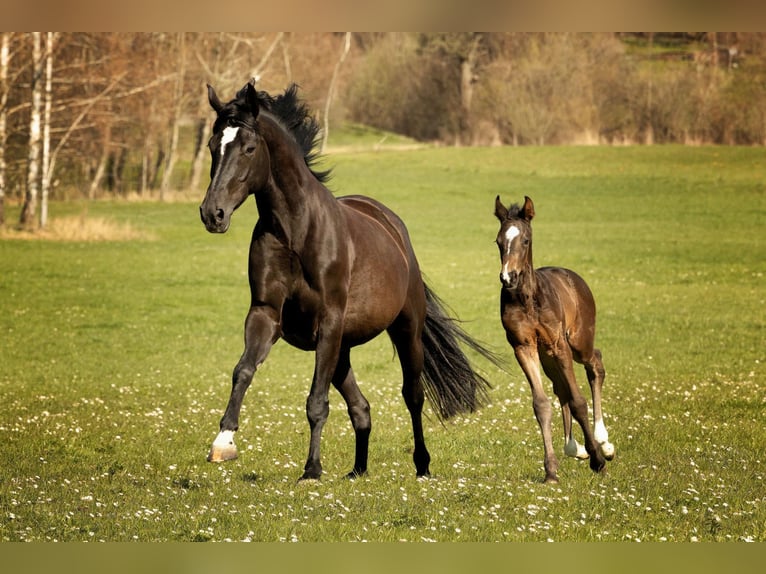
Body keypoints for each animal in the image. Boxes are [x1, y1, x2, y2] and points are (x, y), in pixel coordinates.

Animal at [198, 80, 495, 481]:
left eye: (248, 148)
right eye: (214, 146)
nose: (212, 214)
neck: (295, 232)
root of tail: (391, 225)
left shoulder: (329, 322)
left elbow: (316, 402)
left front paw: (311, 469)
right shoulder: (265, 314)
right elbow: (243, 370)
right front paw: (224, 443)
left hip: (404, 330)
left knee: (412, 395)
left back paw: (422, 465)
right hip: (343, 348)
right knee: (361, 406)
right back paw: (358, 470)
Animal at [494, 195, 614, 483]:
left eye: (526, 240)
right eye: (498, 241)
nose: (508, 277)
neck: (528, 299)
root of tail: (572, 276)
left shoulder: (559, 346)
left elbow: (579, 401)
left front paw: (598, 460)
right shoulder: (523, 347)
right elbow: (541, 404)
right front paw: (551, 469)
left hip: (578, 343)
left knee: (595, 363)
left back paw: (604, 442)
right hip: (547, 356)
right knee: (560, 388)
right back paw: (574, 447)